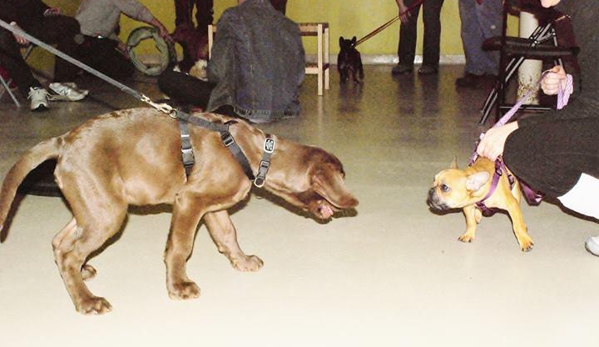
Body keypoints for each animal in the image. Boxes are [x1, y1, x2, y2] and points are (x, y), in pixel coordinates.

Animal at [0, 108, 356, 316]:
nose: (354, 202)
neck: (257, 152)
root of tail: (63, 140)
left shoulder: (212, 208)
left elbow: (228, 235)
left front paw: (242, 262)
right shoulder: (188, 201)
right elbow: (180, 248)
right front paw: (179, 287)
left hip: (95, 205)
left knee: (60, 242)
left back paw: (82, 276)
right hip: (108, 213)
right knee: (70, 252)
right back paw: (87, 302)